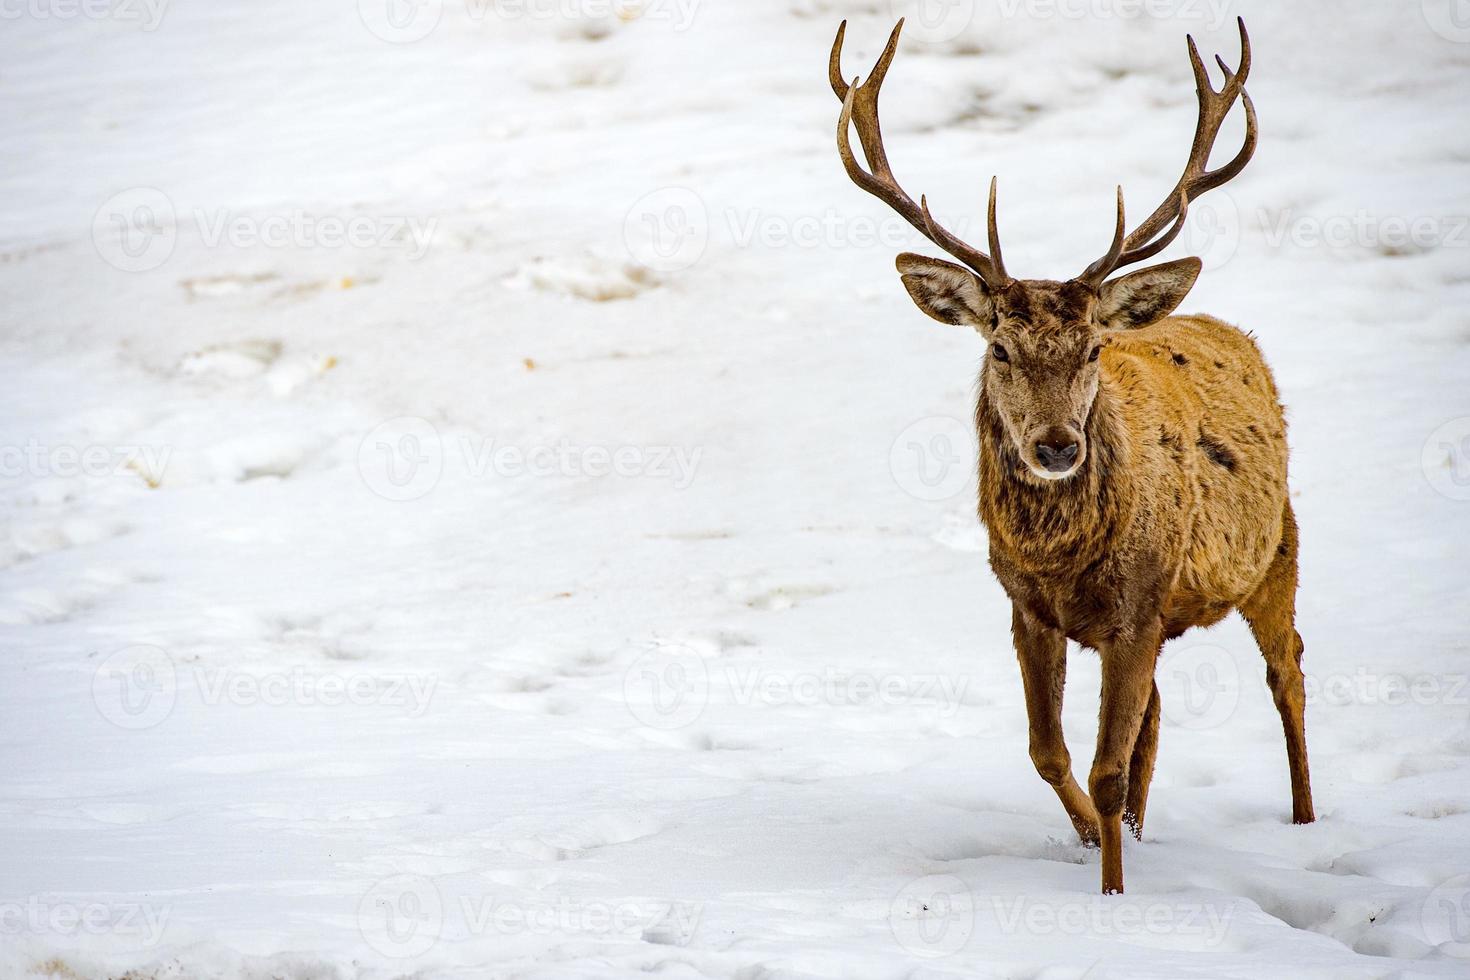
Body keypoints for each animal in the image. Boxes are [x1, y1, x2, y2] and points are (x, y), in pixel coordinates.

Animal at [834, 17, 1317, 899]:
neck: (1064, 560)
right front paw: (1098, 841)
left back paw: (1304, 821)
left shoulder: (1137, 609)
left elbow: (1106, 768)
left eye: (1093, 348)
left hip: (1276, 548)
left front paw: (1115, 893)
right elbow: (1053, 752)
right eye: (999, 348)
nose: (1057, 443)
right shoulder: (1029, 609)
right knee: (1156, 722)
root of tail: (1230, 330)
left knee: (1288, 675)